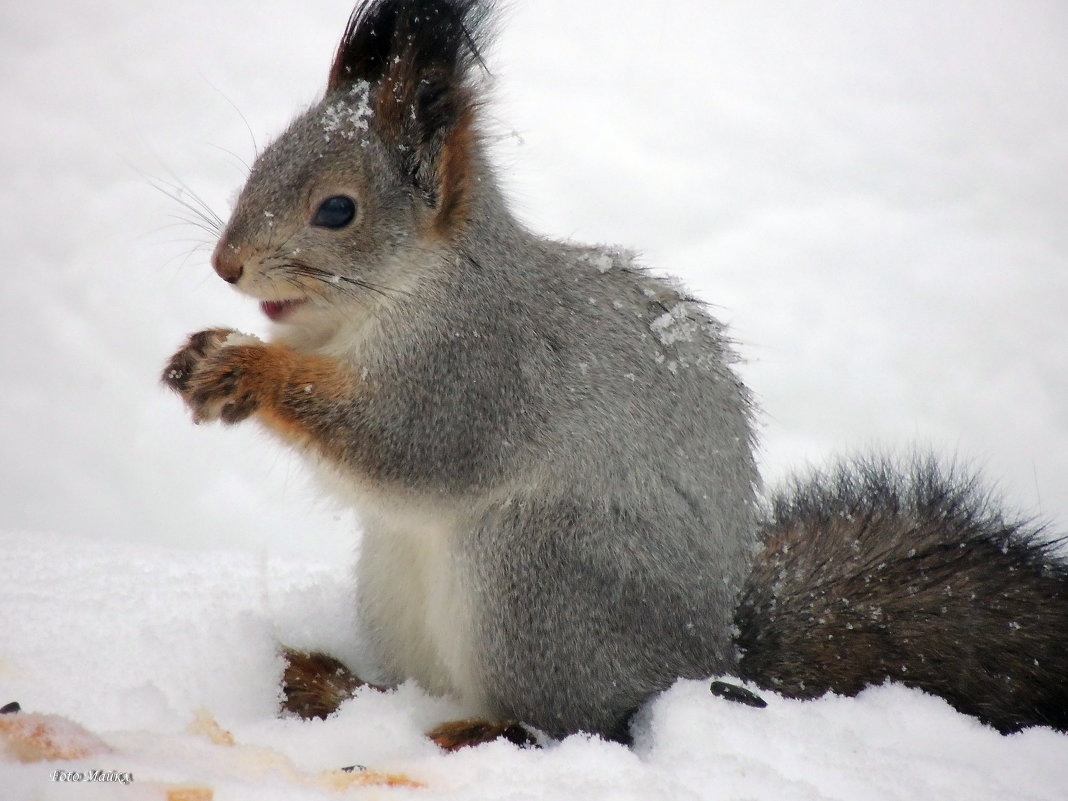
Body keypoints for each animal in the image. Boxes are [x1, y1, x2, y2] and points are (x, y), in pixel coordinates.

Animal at [162, 0, 1063, 751]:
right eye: (260, 162)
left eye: (337, 210)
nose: (225, 263)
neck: (407, 293)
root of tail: (708, 656)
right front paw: (205, 350)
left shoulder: (481, 369)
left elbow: (407, 448)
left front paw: (245, 367)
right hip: (395, 581)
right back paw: (337, 688)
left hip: (535, 579)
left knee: (580, 724)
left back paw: (474, 730)